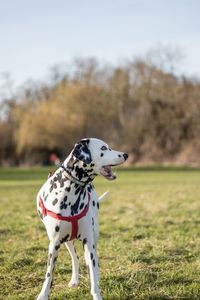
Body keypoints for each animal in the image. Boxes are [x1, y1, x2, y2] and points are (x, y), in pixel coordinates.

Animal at [36, 137, 128, 298]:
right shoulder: (54, 244)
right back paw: (74, 280)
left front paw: (97, 293)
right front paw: (43, 295)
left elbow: (93, 273)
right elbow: (49, 275)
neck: (70, 193)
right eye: (103, 148)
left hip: (94, 237)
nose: (125, 155)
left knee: (93, 260)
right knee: (75, 258)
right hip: (67, 241)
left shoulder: (88, 242)